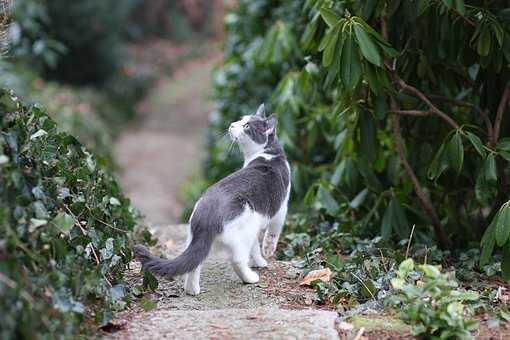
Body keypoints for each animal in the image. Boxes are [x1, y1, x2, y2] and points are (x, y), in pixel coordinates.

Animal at [132, 103, 290, 294]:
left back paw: (192, 290)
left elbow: (255, 248)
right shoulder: (282, 207)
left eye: (246, 125)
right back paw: (250, 278)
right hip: (245, 230)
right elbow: (272, 233)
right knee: (237, 259)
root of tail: (207, 213)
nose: (232, 124)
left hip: (197, 238)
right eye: (240, 121)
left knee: (195, 261)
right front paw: (266, 254)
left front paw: (259, 262)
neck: (267, 153)